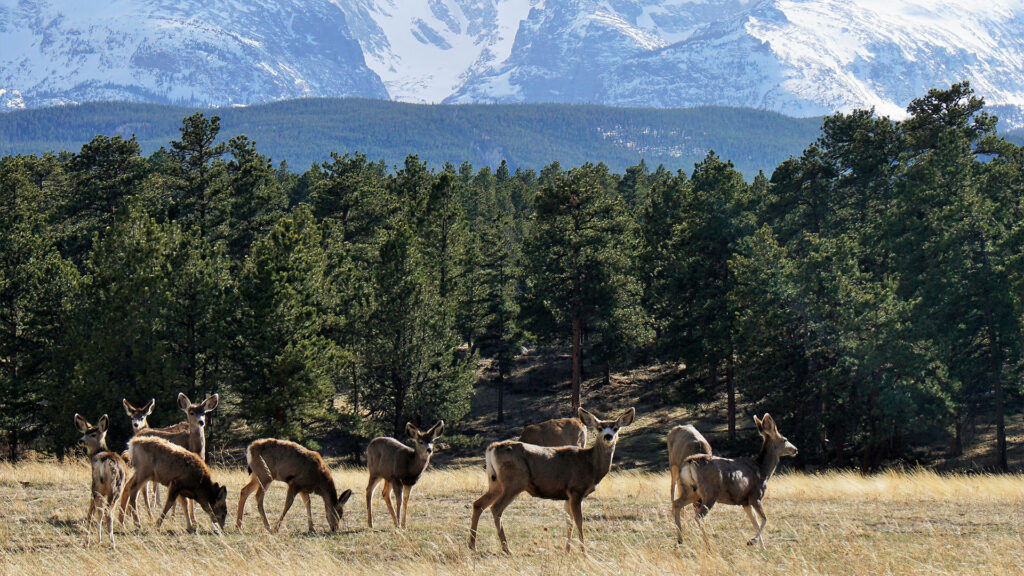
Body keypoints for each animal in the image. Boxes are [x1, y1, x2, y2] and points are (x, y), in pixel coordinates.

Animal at [74, 414, 128, 546]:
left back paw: (91, 540)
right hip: (115, 488)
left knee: (94, 511)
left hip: (96, 485)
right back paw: (111, 542)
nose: (80, 440)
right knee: (107, 511)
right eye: (85, 433)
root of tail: (104, 461)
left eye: (93, 434)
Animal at [469, 406, 636, 554]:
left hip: (496, 483)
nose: (608, 436)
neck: (591, 465)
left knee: (478, 504)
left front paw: (567, 550)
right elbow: (579, 521)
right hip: (514, 482)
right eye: (600, 428)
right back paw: (506, 549)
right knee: (496, 508)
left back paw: (472, 545)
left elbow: (569, 521)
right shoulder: (576, 490)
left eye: (615, 428)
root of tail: (492, 448)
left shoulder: (567, 495)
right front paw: (584, 552)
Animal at [672, 413, 797, 547]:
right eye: (785, 439)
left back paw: (680, 540)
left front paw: (762, 547)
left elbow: (755, 523)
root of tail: (690, 462)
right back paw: (708, 544)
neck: (762, 470)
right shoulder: (755, 496)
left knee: (677, 504)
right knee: (698, 516)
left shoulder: (745, 502)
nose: (795, 449)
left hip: (691, 491)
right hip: (710, 492)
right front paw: (752, 541)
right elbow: (764, 519)